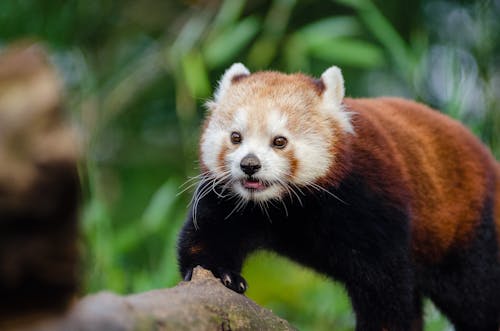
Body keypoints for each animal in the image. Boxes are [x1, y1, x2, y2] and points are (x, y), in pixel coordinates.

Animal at [177, 63, 500, 330]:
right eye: (236, 137)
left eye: (279, 141)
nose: (249, 165)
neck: (283, 205)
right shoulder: (230, 201)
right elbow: (209, 236)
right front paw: (222, 273)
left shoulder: (370, 201)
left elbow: (385, 286)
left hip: (468, 231)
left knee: (478, 294)